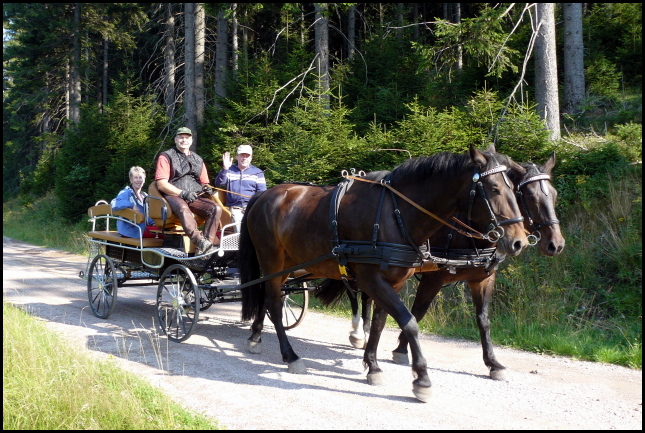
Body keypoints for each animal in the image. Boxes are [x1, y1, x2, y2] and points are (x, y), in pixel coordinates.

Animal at [238, 145, 529, 402]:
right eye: (493, 189)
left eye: (513, 189)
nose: (519, 242)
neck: (396, 213)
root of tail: (265, 195)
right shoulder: (374, 279)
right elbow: (409, 322)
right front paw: (422, 378)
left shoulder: (396, 281)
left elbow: (380, 322)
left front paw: (373, 366)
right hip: (272, 261)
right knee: (275, 305)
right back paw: (290, 356)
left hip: (286, 265)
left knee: (268, 297)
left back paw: (256, 336)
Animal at [344, 152, 565, 381]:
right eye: (530, 196)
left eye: (554, 195)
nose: (556, 244)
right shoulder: (433, 278)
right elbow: (418, 312)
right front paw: (401, 349)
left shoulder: (483, 279)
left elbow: (483, 320)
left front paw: (493, 363)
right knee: (353, 292)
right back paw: (357, 332)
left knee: (367, 297)